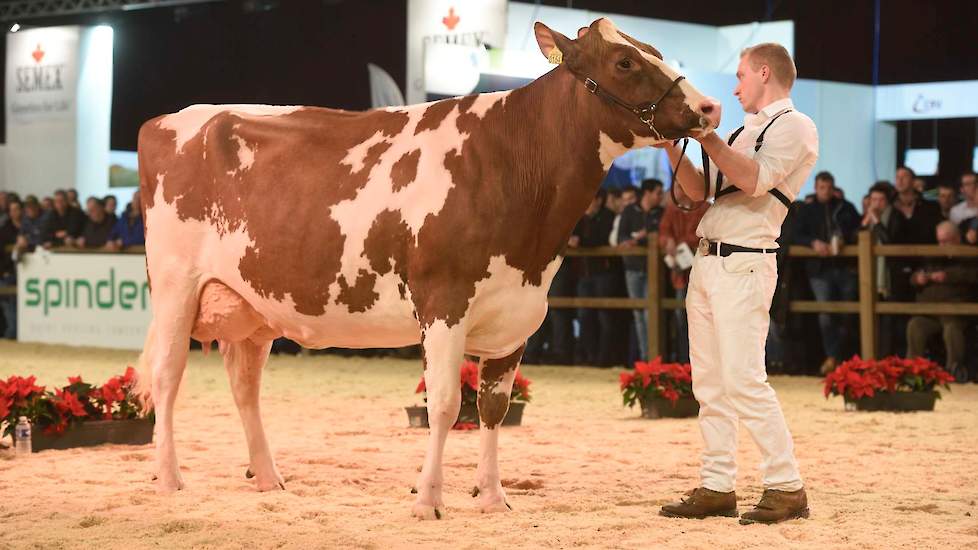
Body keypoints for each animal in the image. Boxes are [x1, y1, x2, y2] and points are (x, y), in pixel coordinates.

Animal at [133, 18, 716, 520]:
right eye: (624, 61)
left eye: (654, 50)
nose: (709, 107)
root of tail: (166, 119)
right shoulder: (443, 302)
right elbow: (443, 404)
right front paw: (428, 500)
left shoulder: (517, 315)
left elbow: (493, 407)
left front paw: (493, 497)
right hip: (175, 287)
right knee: (166, 377)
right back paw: (170, 480)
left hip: (251, 306)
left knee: (244, 386)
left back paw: (269, 479)